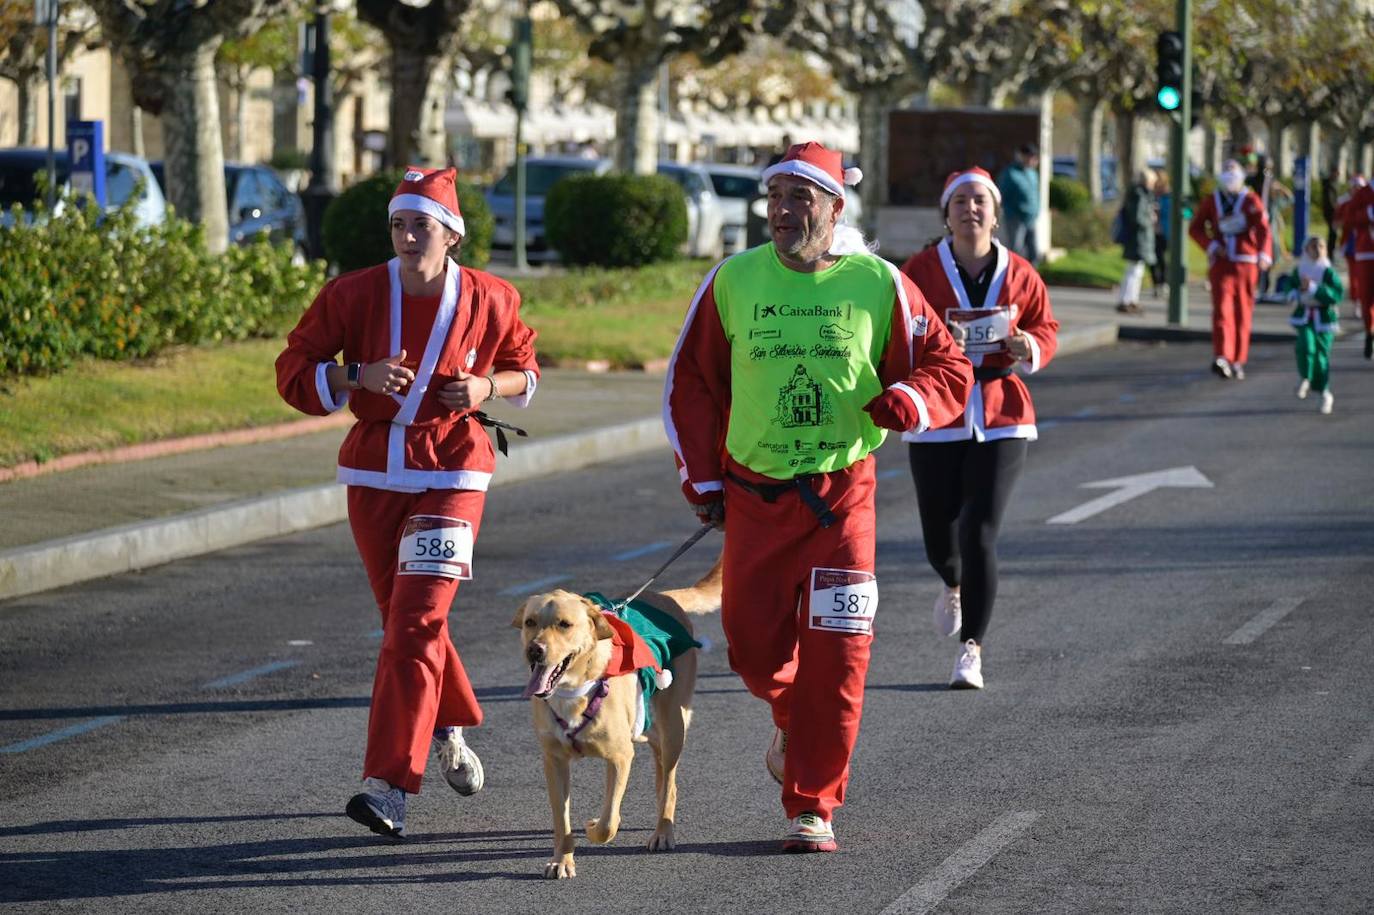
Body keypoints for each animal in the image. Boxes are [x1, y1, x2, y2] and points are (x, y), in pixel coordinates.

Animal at [516, 555, 725, 879]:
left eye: (564, 624)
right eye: (530, 622)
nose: (534, 650)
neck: (574, 690)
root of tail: (664, 596)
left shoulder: (620, 757)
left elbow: (607, 823)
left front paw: (591, 828)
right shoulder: (554, 762)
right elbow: (561, 822)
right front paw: (562, 860)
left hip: (673, 724)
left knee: (670, 782)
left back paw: (663, 832)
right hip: (646, 726)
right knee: (659, 762)